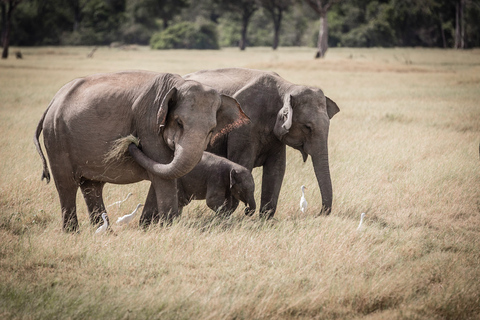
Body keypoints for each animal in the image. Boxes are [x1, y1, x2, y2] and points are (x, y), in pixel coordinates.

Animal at [33, 70, 248, 231]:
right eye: (179, 122)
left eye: (212, 130)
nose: (132, 141)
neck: (177, 83)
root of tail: (53, 101)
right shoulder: (149, 123)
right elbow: (163, 175)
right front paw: (169, 228)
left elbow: (163, 172)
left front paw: (148, 227)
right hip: (57, 137)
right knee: (66, 184)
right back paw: (73, 232)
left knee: (91, 186)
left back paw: (105, 232)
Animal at [183, 67, 338, 218]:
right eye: (307, 127)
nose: (319, 213)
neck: (287, 87)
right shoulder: (243, 128)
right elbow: (242, 164)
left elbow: (276, 169)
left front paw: (264, 220)